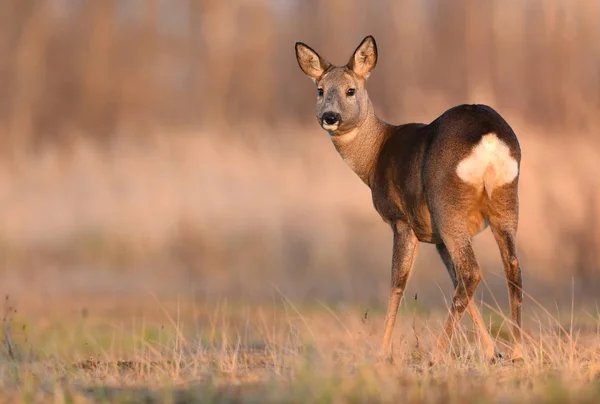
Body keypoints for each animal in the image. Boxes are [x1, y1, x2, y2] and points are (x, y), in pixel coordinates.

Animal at [298, 35, 524, 362]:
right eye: (320, 90)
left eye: (350, 89)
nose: (330, 117)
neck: (374, 156)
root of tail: (489, 138)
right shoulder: (437, 238)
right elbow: (452, 278)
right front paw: (492, 351)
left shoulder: (401, 220)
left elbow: (398, 283)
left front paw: (381, 352)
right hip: (505, 202)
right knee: (509, 268)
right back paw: (516, 352)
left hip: (447, 205)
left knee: (471, 273)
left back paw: (435, 355)